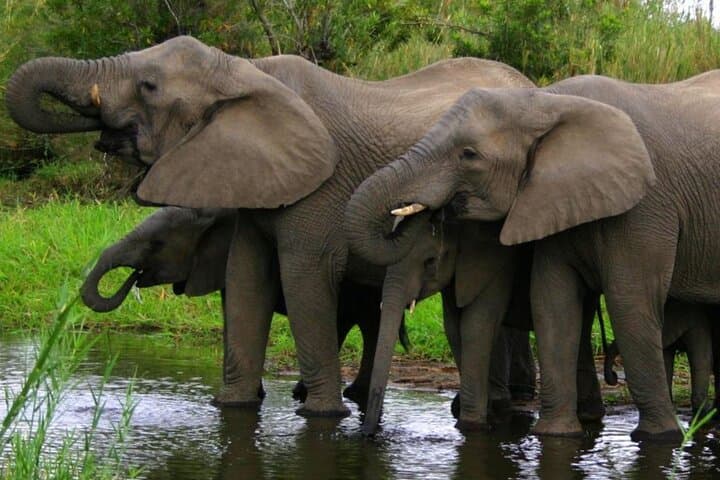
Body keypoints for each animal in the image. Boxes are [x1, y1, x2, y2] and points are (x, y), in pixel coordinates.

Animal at [343, 69, 720, 440]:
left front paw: (659, 438)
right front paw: (556, 436)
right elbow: (553, 301)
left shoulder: (647, 205)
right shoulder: (552, 199)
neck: (547, 103)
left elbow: (630, 301)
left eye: (469, 154)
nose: (369, 435)